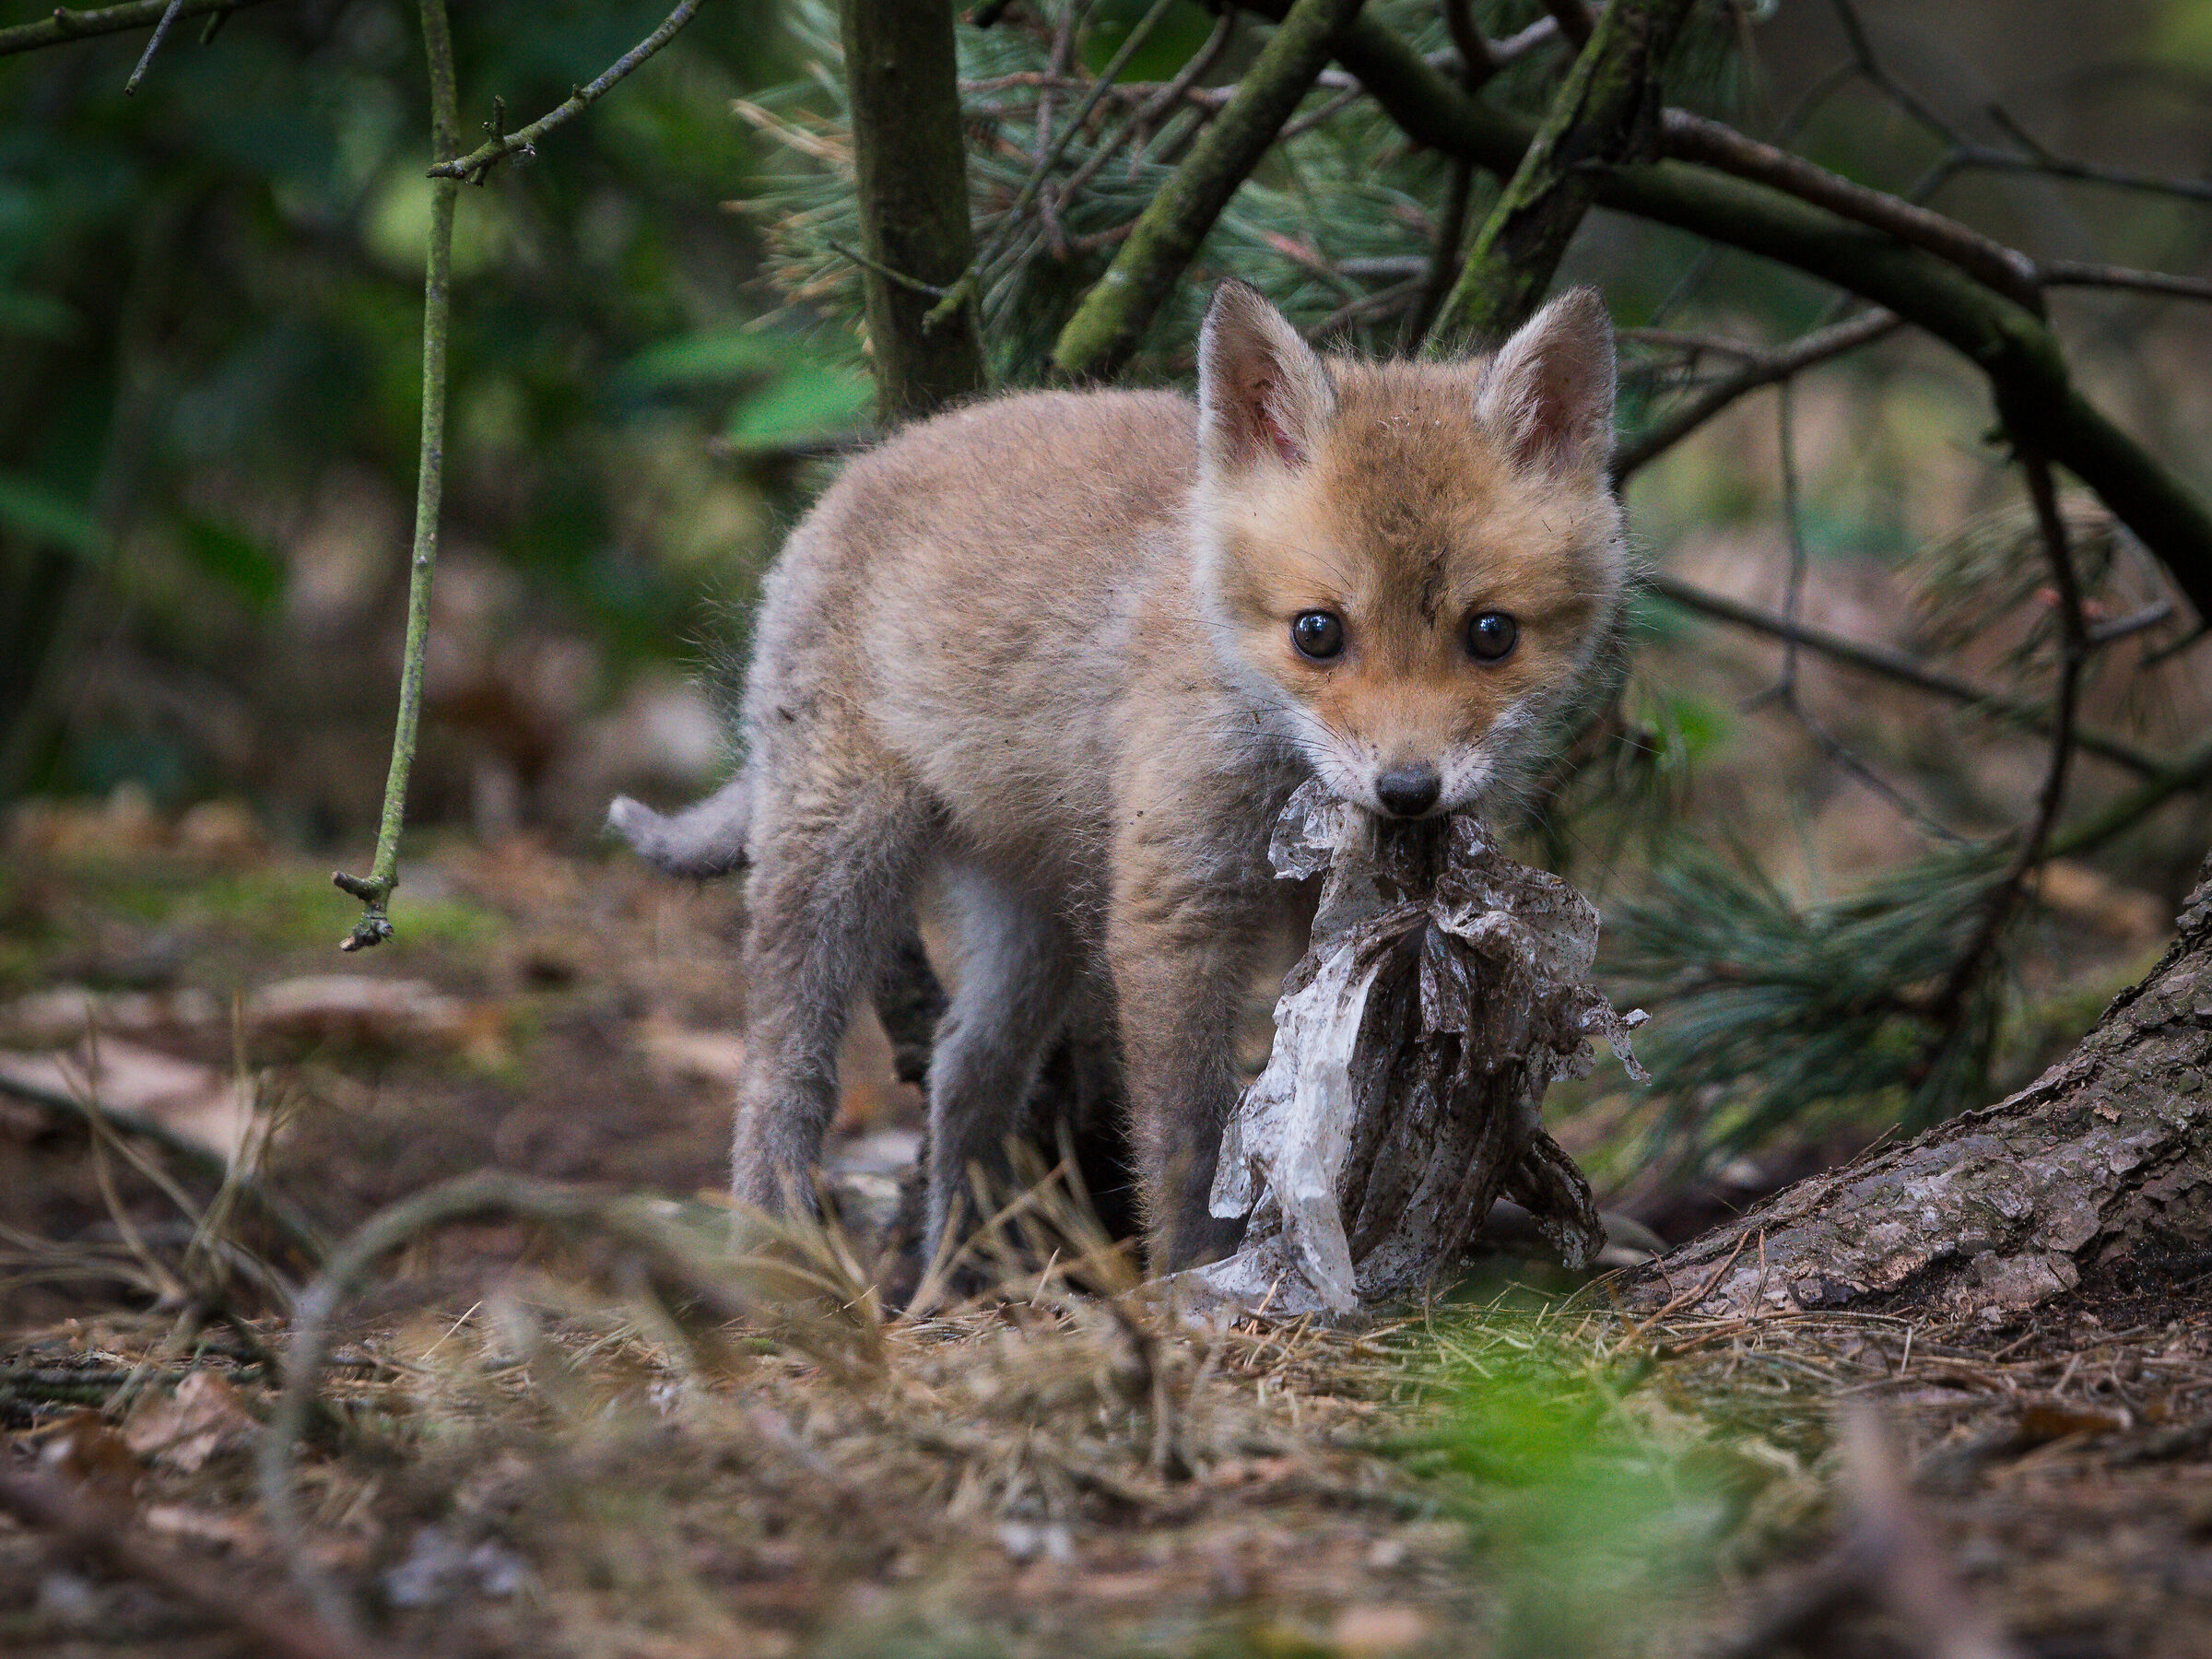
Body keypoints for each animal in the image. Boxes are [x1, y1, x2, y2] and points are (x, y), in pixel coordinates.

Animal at [608, 280, 1630, 1272]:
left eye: (1491, 634)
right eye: (1318, 632)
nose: (1407, 792)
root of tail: (871, 460)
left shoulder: (1347, 920)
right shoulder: (1171, 902)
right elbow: (1187, 1137)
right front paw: (1191, 1282)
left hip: (1037, 924)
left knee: (965, 1070)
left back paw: (961, 1269)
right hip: (838, 856)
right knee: (781, 1076)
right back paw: (776, 1256)